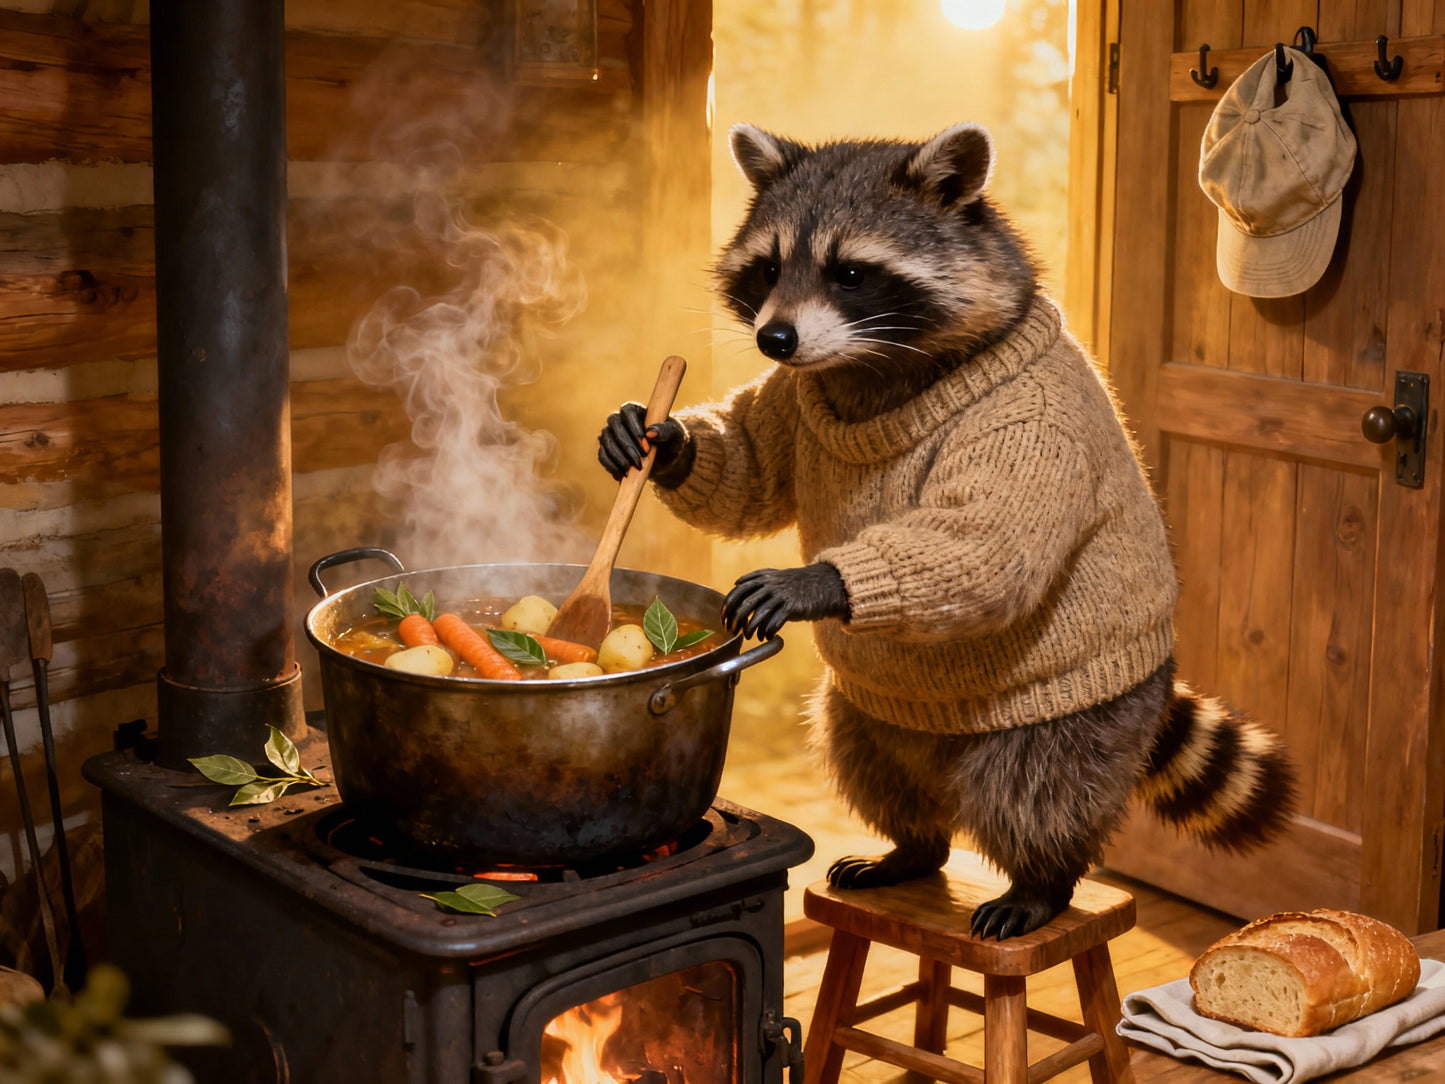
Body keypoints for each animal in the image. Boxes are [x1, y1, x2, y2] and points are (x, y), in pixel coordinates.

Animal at [597, 122, 1297, 940]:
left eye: (850, 272)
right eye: (769, 267)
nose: (776, 337)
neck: (870, 362)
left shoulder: (1032, 427)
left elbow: (986, 544)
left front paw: (817, 581)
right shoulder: (796, 396)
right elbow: (752, 471)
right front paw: (667, 441)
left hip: (1088, 710)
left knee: (1040, 785)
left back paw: (1042, 879)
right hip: (874, 713)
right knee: (866, 756)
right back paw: (913, 845)